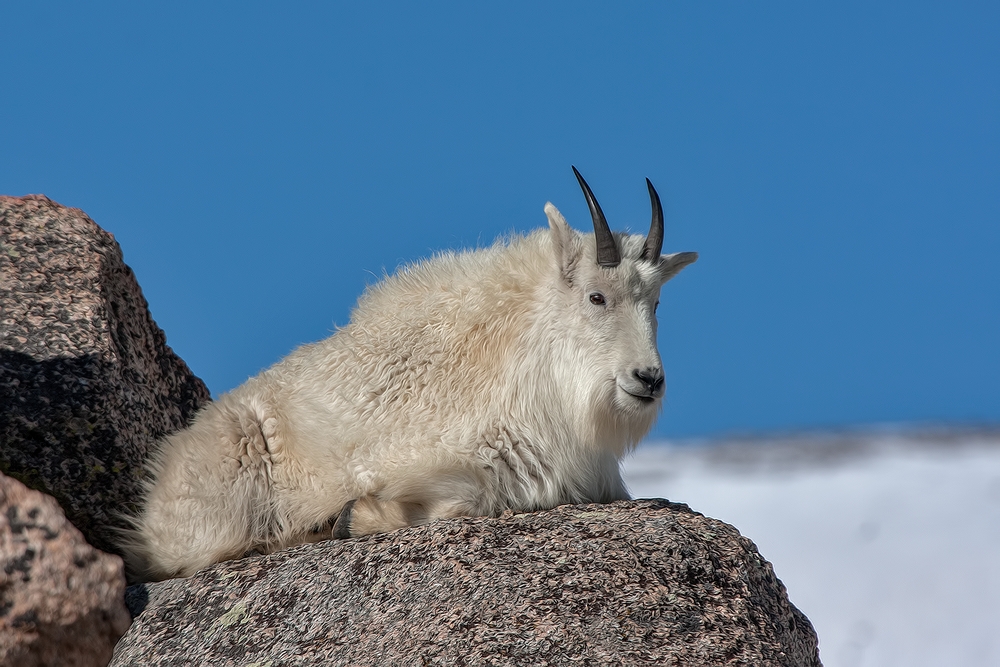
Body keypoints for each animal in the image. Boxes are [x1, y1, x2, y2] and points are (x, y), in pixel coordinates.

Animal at [123, 167, 696, 580]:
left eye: (657, 302)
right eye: (597, 296)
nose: (648, 379)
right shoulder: (424, 458)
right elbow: (457, 502)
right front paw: (350, 517)